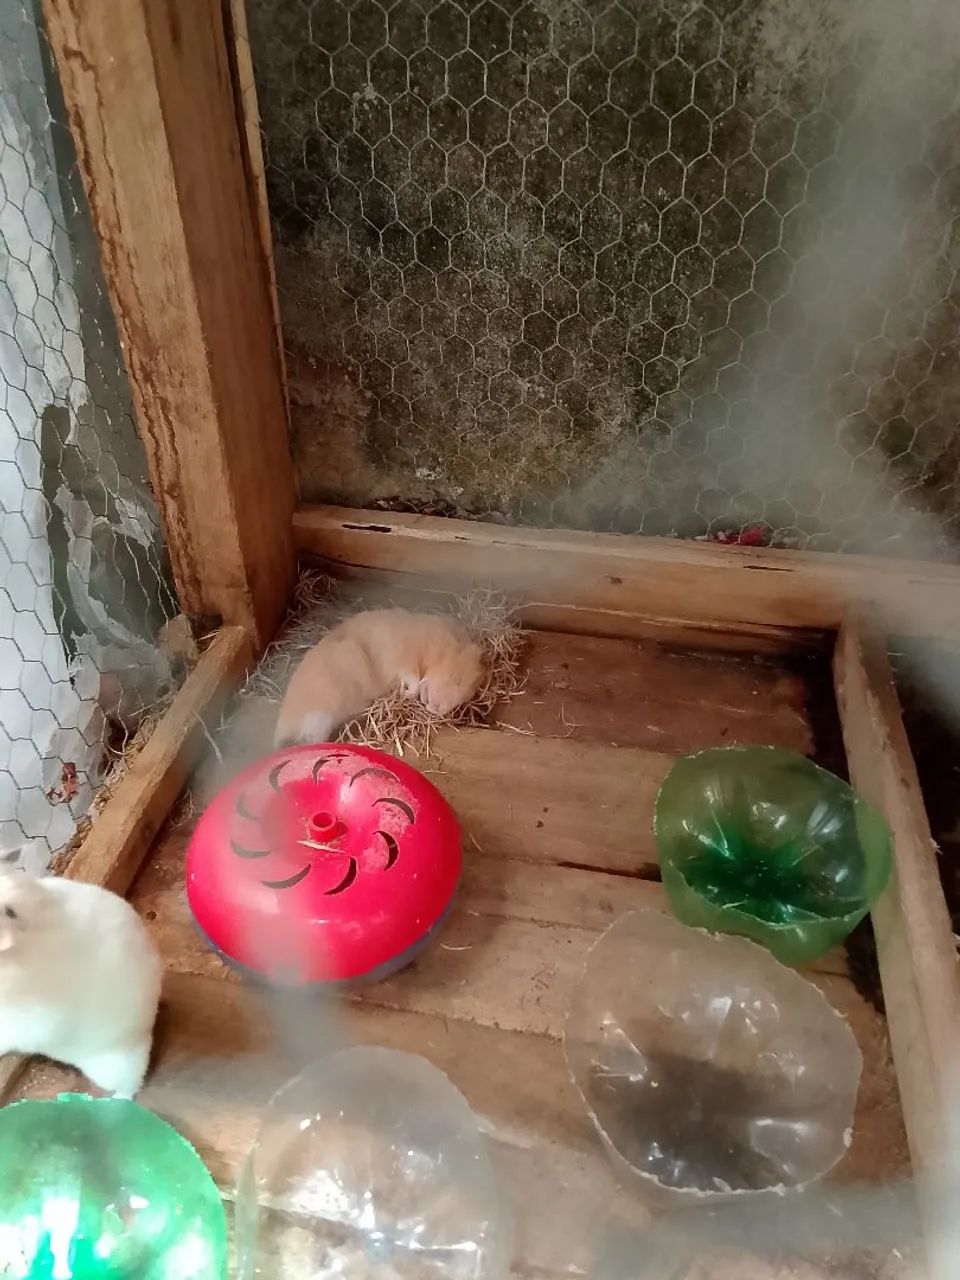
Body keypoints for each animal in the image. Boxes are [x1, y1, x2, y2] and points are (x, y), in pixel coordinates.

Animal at [274, 608, 487, 747]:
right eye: (458, 679)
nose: (435, 709)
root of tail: (284, 725)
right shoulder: (401, 659)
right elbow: (413, 682)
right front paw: (405, 692)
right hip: (322, 711)